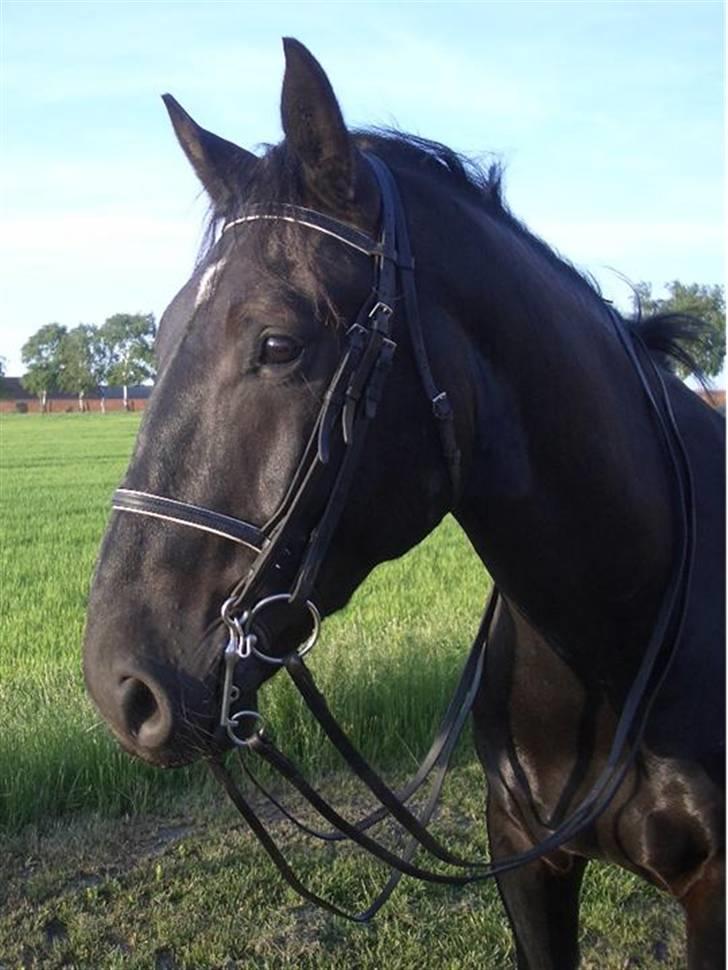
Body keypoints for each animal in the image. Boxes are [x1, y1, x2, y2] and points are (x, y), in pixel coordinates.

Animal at [82, 39, 724, 968]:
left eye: (278, 343)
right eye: (160, 338)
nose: (118, 686)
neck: (621, 625)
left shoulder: (714, 892)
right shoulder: (525, 858)